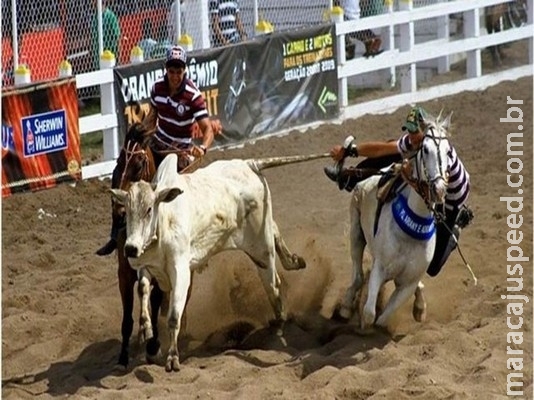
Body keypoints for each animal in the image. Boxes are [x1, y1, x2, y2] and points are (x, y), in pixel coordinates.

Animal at [111, 152, 328, 370]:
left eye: (149, 209)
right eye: (128, 210)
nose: (130, 248)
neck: (165, 221)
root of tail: (249, 164)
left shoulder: (181, 272)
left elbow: (173, 316)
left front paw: (172, 358)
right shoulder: (146, 266)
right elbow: (143, 289)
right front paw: (145, 328)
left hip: (261, 248)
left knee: (274, 286)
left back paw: (279, 326)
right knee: (275, 233)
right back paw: (294, 261)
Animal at [340, 111, 452, 328]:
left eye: (448, 152)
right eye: (425, 149)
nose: (439, 189)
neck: (410, 233)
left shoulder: (407, 284)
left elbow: (383, 319)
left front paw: (417, 310)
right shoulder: (380, 268)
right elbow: (369, 313)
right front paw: (362, 326)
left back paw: (420, 308)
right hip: (356, 233)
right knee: (357, 276)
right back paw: (346, 307)